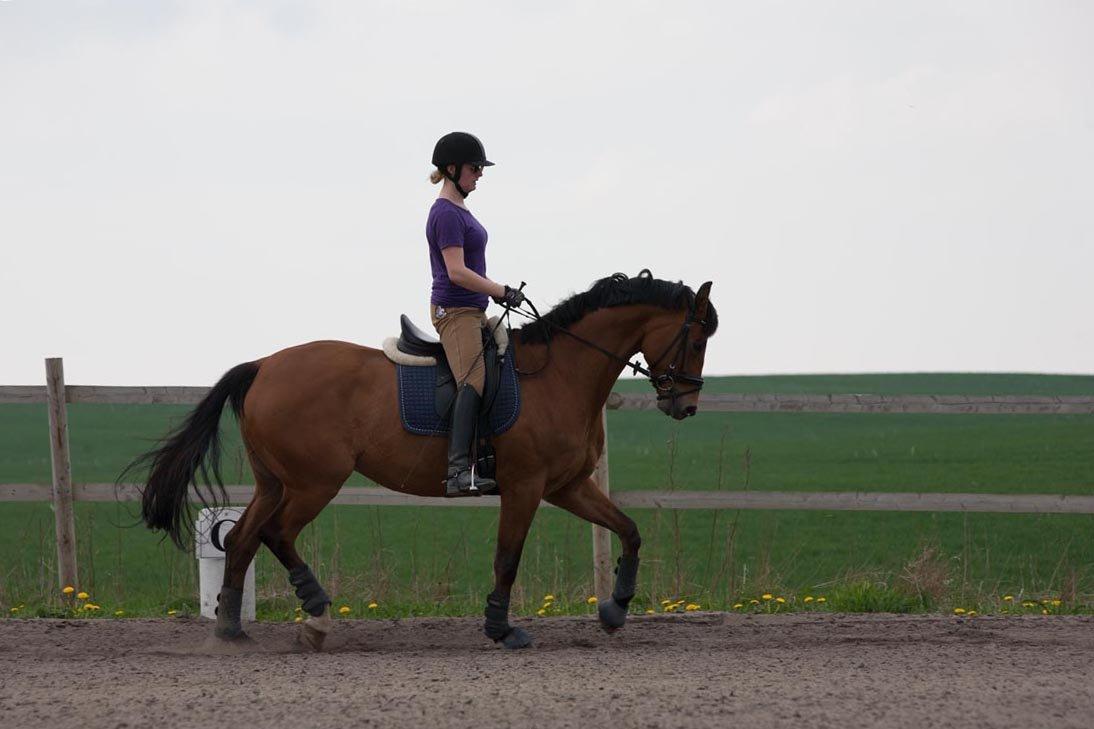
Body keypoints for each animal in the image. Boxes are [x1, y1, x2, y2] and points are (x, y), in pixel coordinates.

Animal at [127, 271, 713, 648]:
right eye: (698, 337)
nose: (685, 405)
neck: (560, 372)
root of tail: (264, 365)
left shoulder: (566, 485)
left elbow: (630, 529)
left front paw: (614, 609)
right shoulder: (526, 486)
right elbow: (508, 558)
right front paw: (502, 630)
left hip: (277, 482)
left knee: (244, 539)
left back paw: (231, 629)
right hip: (314, 482)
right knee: (276, 535)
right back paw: (316, 618)